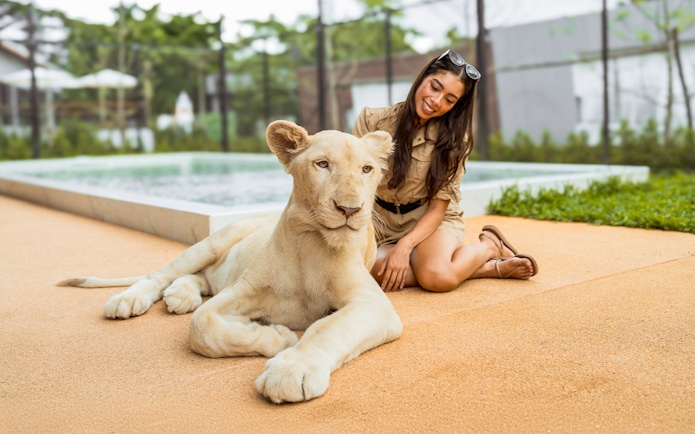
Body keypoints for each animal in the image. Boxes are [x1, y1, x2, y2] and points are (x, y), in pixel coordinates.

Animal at [57, 120, 403, 404]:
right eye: (322, 164)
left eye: (367, 170)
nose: (350, 209)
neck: (311, 245)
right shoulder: (241, 291)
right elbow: (203, 326)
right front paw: (279, 336)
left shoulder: (372, 304)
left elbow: (329, 328)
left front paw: (291, 371)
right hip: (211, 243)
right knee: (161, 275)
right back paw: (128, 300)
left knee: (197, 279)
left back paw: (180, 296)